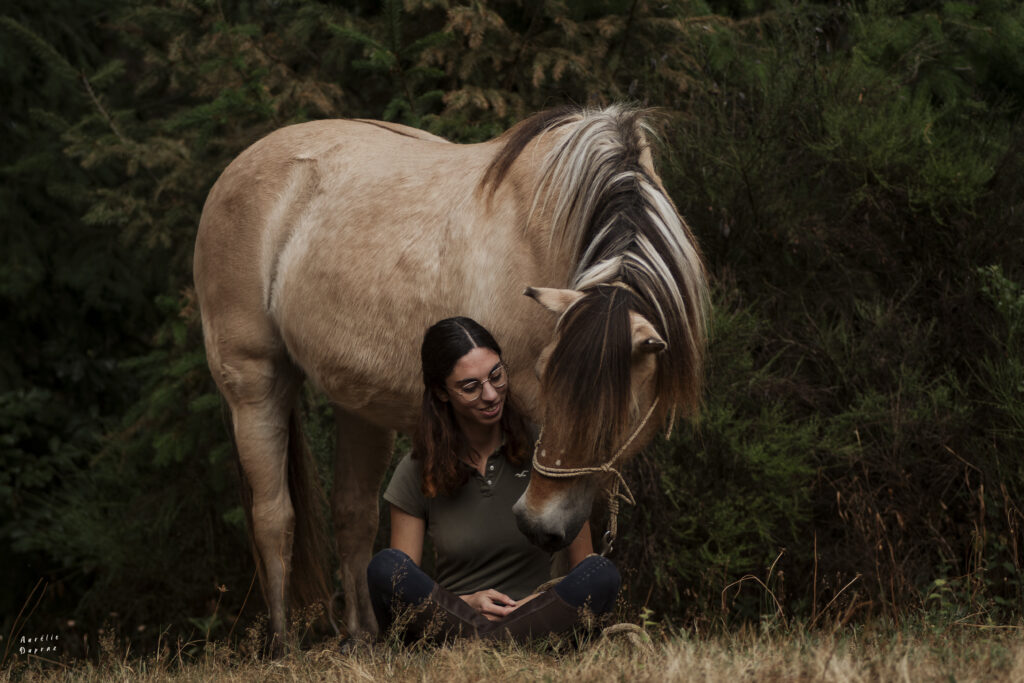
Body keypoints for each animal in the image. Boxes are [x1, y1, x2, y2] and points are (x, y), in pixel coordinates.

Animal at [192, 104, 708, 649]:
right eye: (544, 374)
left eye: (616, 409)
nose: (535, 523)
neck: (547, 231)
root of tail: (239, 169)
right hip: (255, 387)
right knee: (275, 519)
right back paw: (285, 645)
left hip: (359, 407)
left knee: (353, 514)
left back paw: (366, 639)